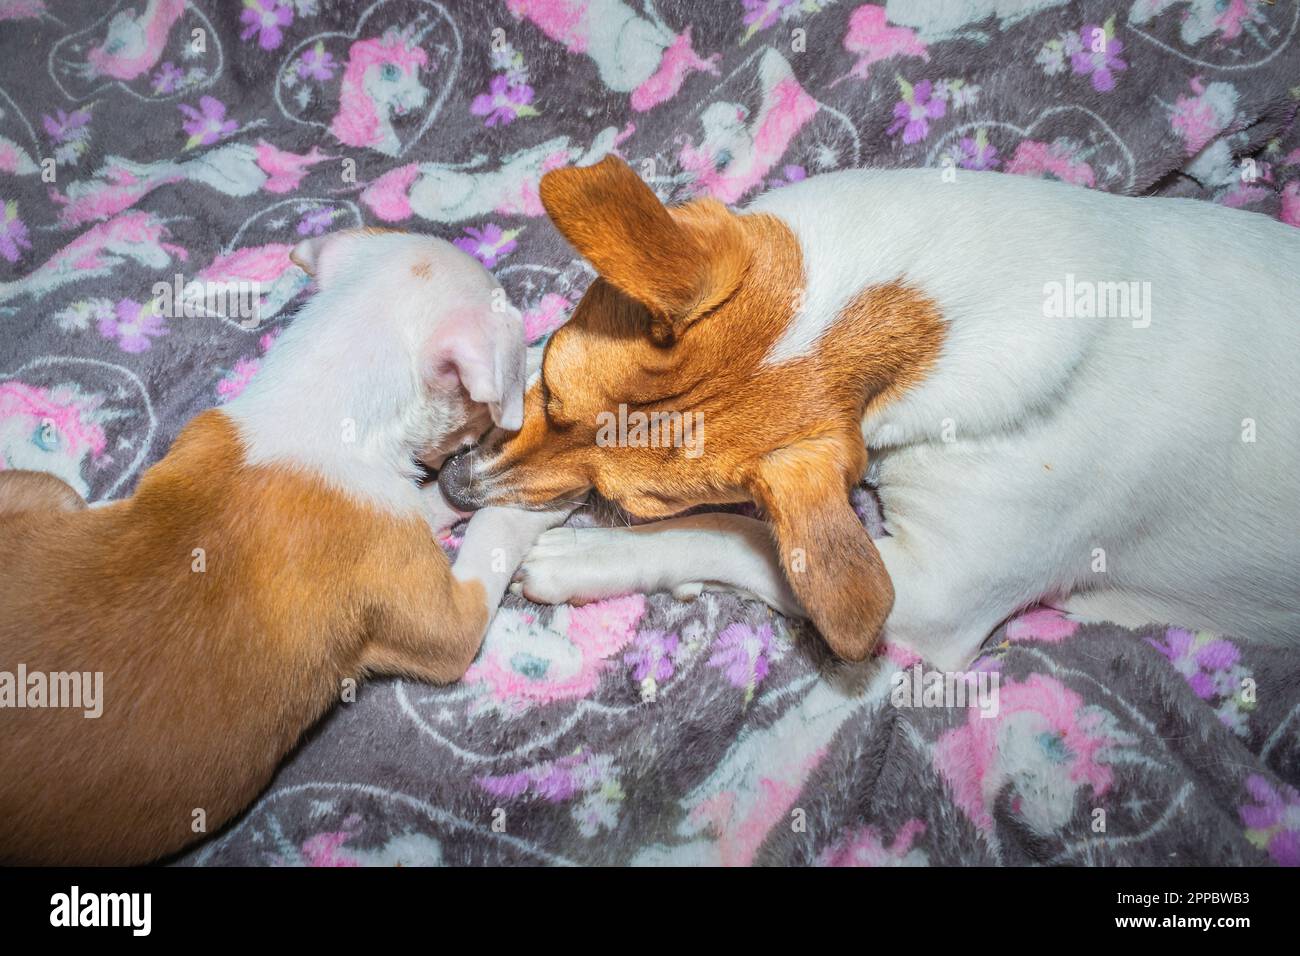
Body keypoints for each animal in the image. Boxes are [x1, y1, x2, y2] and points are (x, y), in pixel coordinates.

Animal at [441, 155, 1300, 665]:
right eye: (552, 388)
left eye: (636, 507)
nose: (456, 490)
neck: (939, 321)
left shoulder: (932, 600)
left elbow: (750, 539)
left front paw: (592, 557)